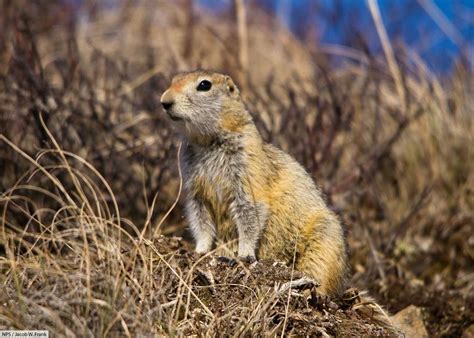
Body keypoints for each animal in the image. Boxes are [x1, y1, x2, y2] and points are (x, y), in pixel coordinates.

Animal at [161, 70, 346, 294]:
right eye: (173, 80)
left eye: (204, 85)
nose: (164, 101)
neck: (207, 142)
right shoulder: (195, 190)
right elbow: (200, 219)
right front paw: (200, 250)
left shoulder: (247, 170)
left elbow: (250, 210)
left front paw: (244, 255)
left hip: (324, 238)